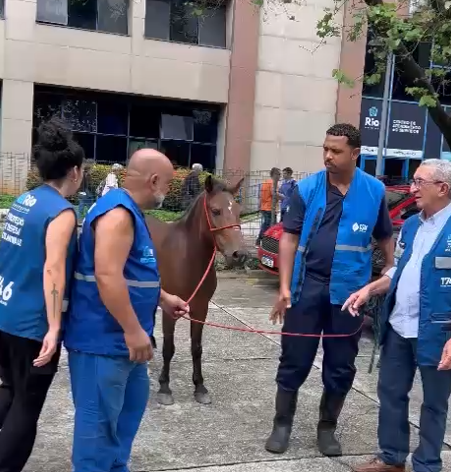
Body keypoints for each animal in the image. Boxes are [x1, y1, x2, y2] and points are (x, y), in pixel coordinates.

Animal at [147, 175, 249, 404]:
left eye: (239, 211)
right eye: (216, 210)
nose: (239, 255)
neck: (188, 258)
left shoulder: (200, 308)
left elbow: (196, 348)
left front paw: (200, 387)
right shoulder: (171, 310)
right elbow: (169, 348)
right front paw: (164, 387)